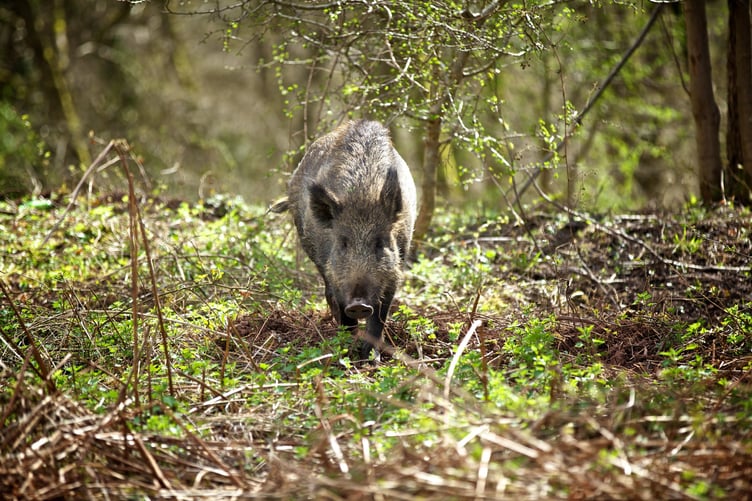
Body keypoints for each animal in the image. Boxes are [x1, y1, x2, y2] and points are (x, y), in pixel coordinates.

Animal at [271, 120, 417, 360]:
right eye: (342, 243)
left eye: (380, 243)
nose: (358, 304)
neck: (362, 194)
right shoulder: (335, 276)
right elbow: (344, 312)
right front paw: (347, 352)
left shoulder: (393, 273)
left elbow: (379, 316)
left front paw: (371, 357)